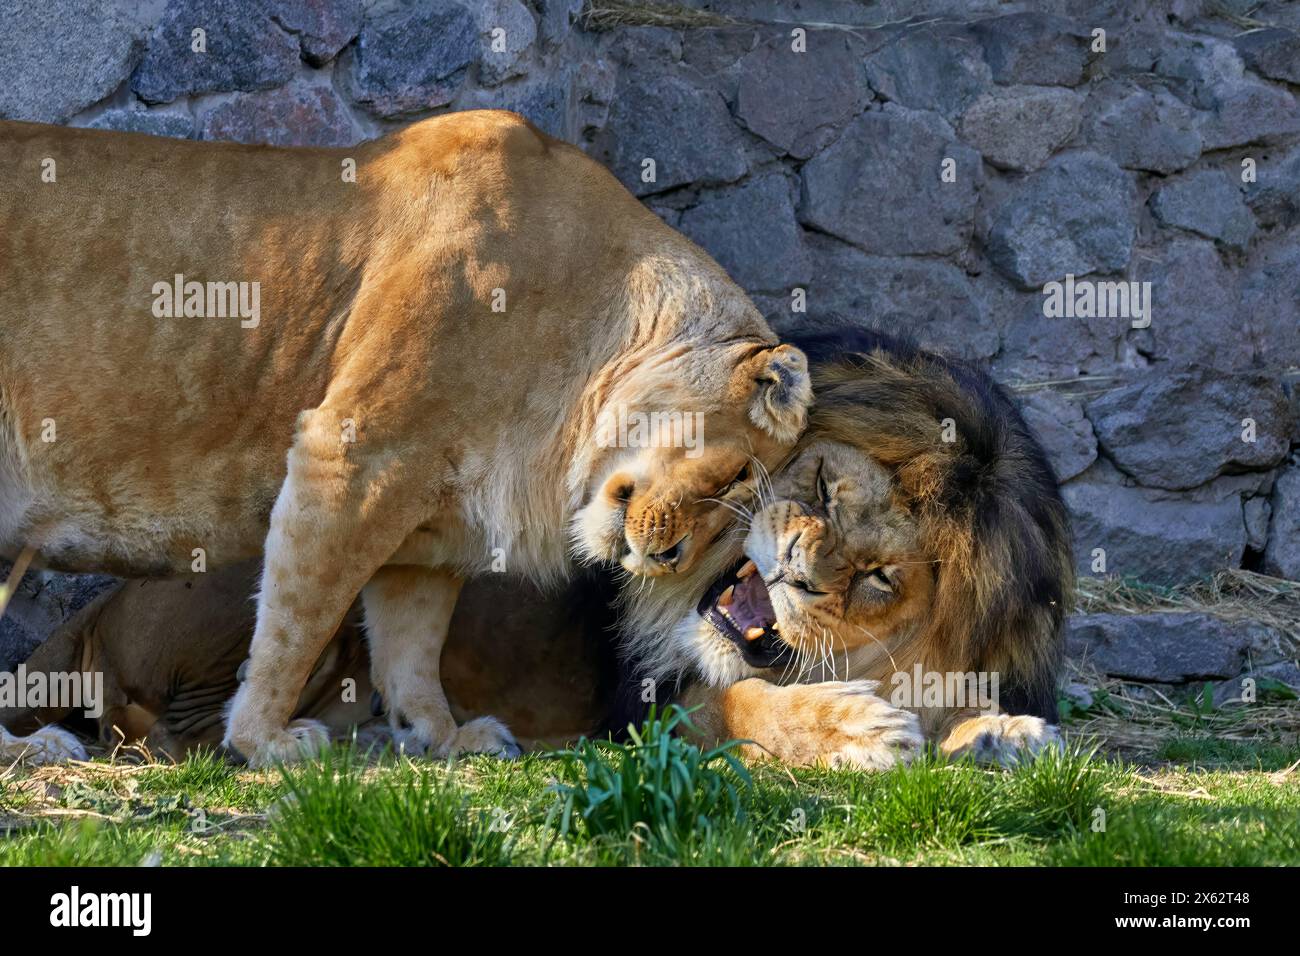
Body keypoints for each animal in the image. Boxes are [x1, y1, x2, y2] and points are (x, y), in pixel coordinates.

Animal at [2, 111, 811, 770]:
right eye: (735, 477)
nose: (669, 557)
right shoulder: (349, 456)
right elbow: (295, 620)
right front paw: (264, 741)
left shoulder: (432, 526)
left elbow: (413, 647)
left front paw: (442, 737)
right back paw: (41, 748)